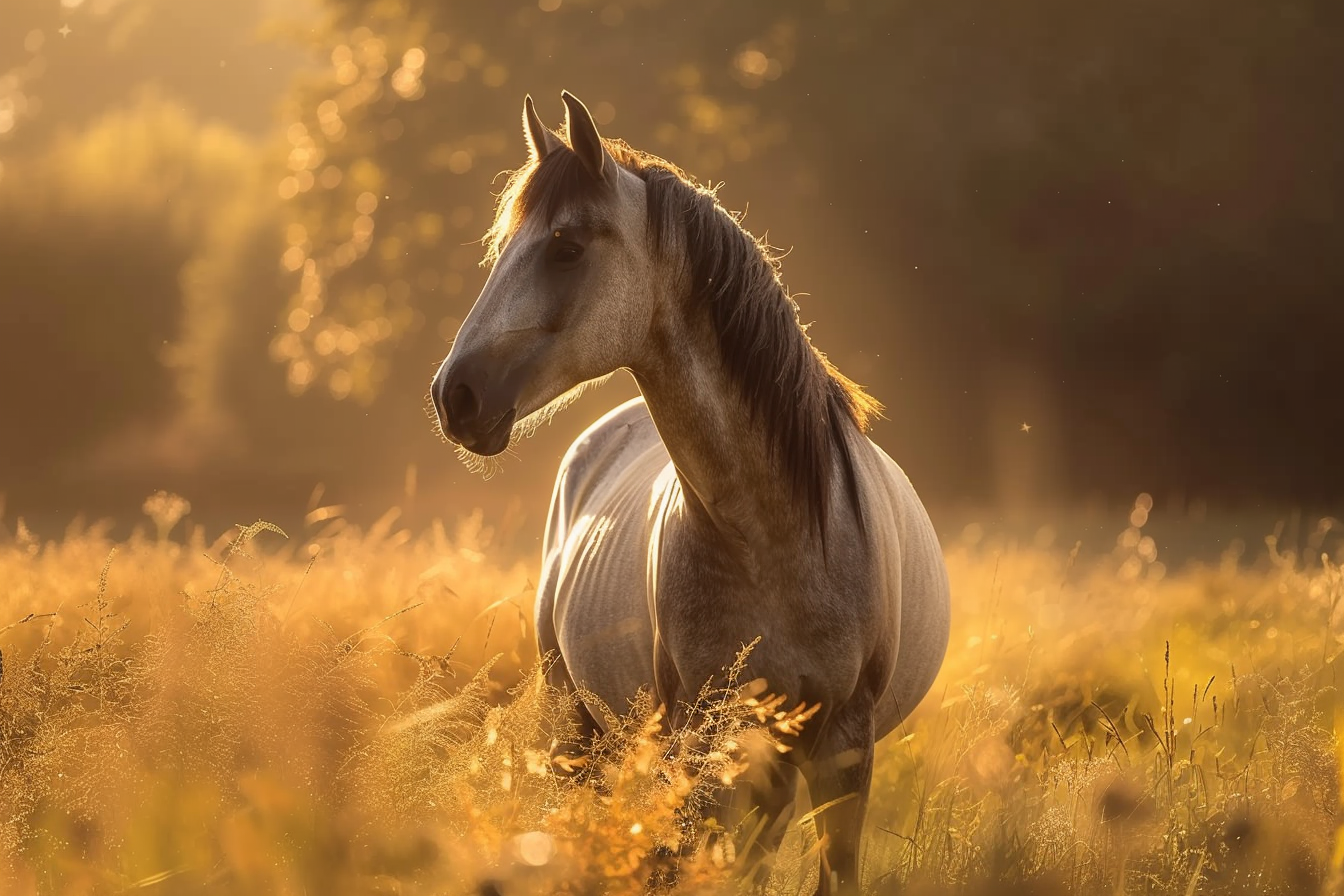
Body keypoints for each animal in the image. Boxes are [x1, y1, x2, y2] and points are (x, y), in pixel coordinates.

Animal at [431, 91, 951, 895]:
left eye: (566, 246)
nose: (454, 395)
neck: (779, 536)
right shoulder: (697, 739)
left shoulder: (842, 750)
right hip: (583, 729)